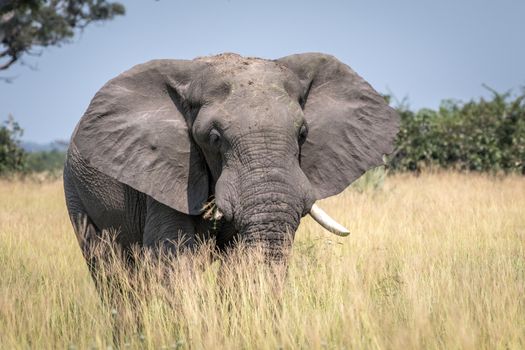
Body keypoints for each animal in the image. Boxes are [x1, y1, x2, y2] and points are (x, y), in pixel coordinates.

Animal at [62, 52, 398, 274]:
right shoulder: (164, 174)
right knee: (111, 273)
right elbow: (174, 261)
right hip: (75, 191)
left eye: (303, 133)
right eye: (214, 138)